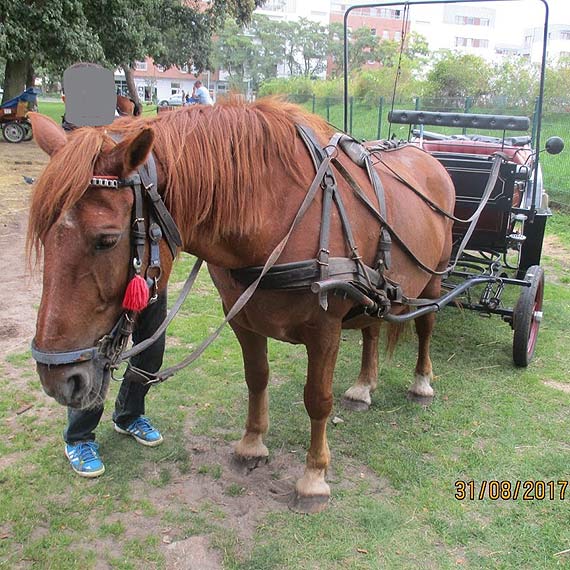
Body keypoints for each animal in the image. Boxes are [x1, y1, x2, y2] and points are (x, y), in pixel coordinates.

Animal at [27, 100, 452, 512]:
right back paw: (364, 386)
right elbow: (257, 378)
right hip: (376, 290)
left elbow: (317, 399)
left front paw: (314, 478)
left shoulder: (325, 329)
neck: (279, 214)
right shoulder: (243, 321)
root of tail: (425, 154)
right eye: (43, 236)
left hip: (434, 279)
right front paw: (252, 445)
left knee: (426, 326)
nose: (56, 378)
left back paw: (421, 382)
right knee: (372, 328)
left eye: (107, 240)